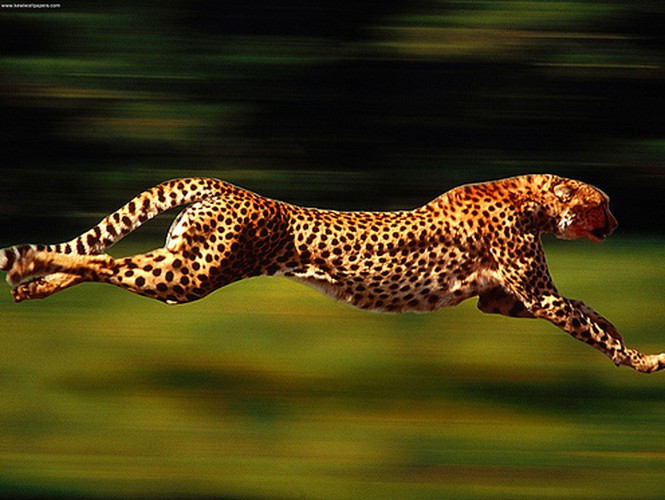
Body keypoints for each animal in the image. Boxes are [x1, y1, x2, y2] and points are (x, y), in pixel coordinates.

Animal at [1, 174, 664, 373]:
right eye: (603, 202)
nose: (619, 220)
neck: (533, 198)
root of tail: (223, 184)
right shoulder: (535, 297)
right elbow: (586, 321)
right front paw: (645, 360)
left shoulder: (501, 301)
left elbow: (590, 312)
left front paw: (628, 342)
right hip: (191, 276)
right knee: (106, 260)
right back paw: (32, 265)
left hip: (180, 266)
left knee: (109, 263)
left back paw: (34, 282)